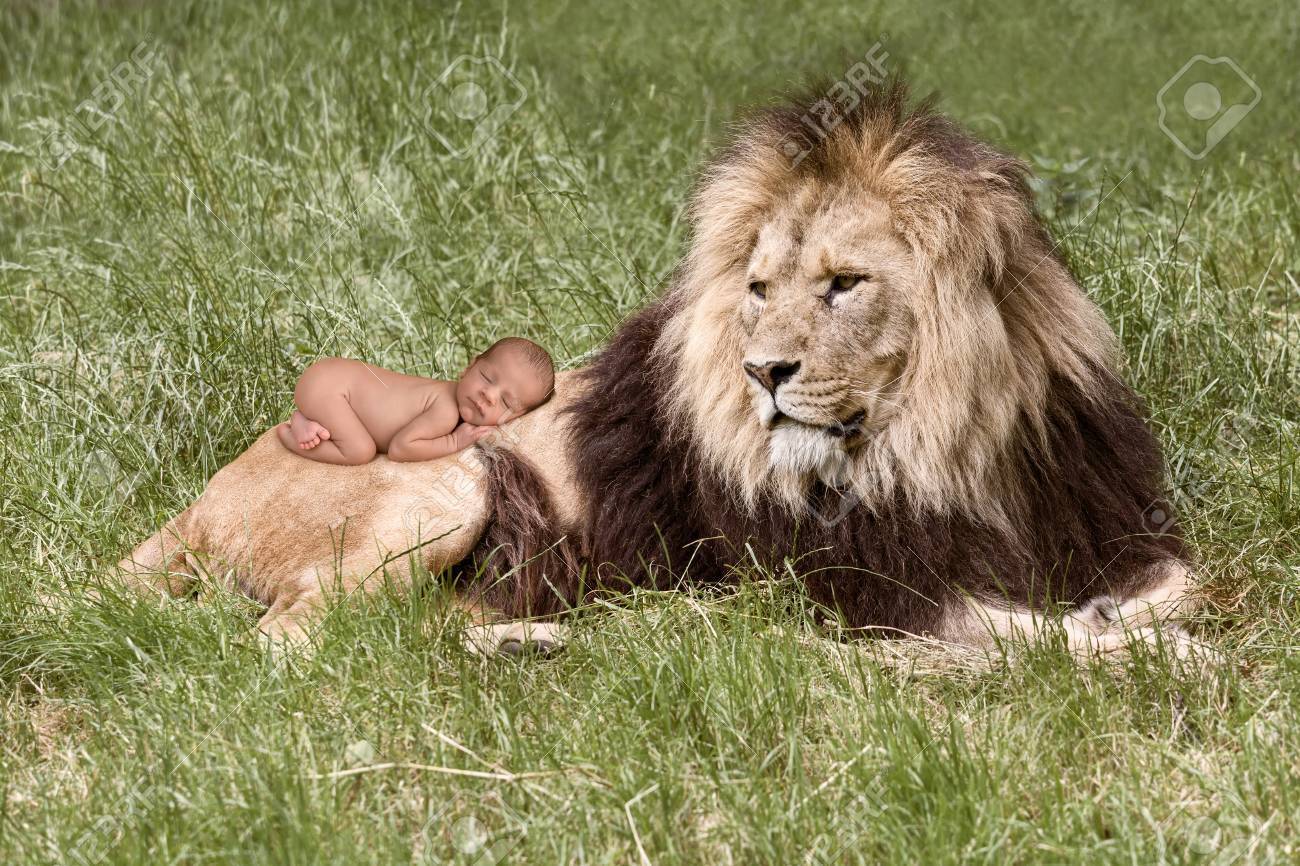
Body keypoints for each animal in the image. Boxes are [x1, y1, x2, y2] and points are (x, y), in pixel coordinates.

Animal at [114, 79, 1196, 657]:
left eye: (844, 283)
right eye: (757, 286)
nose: (764, 373)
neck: (945, 442)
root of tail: (197, 499)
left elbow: (1175, 585)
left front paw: (1131, 616)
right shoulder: (862, 595)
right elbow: (1023, 633)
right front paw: (1149, 653)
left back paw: (548, 641)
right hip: (447, 481)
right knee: (297, 638)